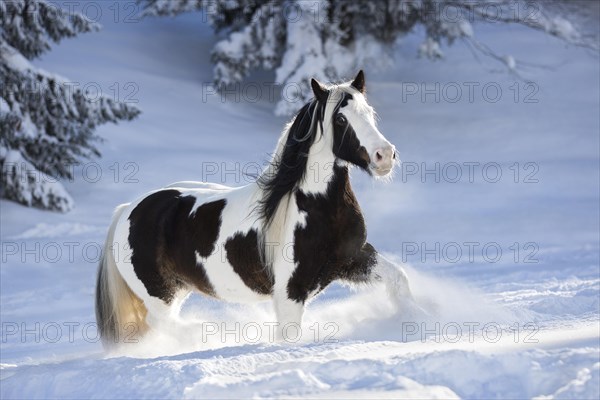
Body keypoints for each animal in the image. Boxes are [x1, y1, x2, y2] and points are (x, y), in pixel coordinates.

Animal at [97, 70, 418, 346]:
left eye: (369, 113)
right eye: (340, 118)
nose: (384, 156)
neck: (319, 208)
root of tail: (128, 209)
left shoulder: (353, 258)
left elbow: (399, 280)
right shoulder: (290, 292)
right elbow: (289, 338)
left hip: (175, 290)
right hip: (159, 293)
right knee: (162, 323)